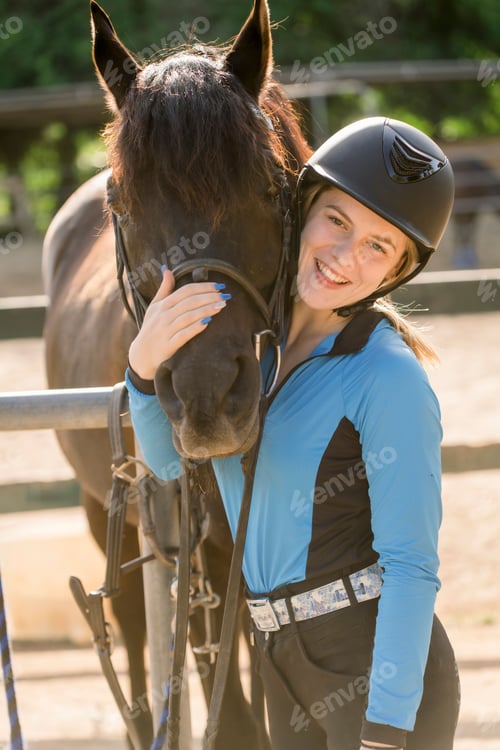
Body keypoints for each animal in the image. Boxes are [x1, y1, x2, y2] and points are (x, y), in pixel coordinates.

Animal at [42, 1, 311, 747]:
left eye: (271, 188)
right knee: (133, 630)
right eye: (123, 205)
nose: (205, 397)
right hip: (104, 507)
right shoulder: (184, 547)